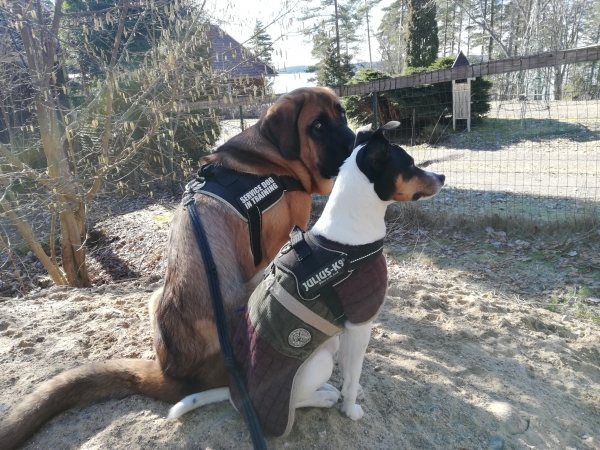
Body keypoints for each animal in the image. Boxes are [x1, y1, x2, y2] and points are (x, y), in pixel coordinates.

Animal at [0, 86, 354, 448]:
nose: (356, 138)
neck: (273, 158)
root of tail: (176, 374)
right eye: (318, 126)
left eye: (341, 114)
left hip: (157, 295)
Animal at [166, 121, 442, 438]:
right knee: (296, 402)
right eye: (409, 165)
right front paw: (350, 409)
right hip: (319, 361)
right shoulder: (361, 325)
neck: (348, 240)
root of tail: (239, 397)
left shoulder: (346, 328)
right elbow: (352, 374)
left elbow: (349, 370)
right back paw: (325, 396)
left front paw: (353, 390)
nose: (443, 177)